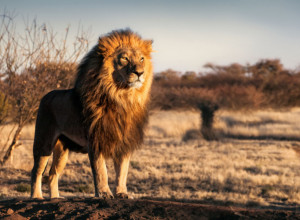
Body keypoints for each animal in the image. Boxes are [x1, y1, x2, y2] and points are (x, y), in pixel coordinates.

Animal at [31, 29, 154, 199]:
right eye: (124, 58)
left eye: (142, 59)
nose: (140, 72)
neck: (122, 98)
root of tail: (45, 95)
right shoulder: (96, 139)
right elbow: (101, 170)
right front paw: (104, 193)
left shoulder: (124, 142)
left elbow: (122, 171)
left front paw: (122, 193)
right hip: (44, 142)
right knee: (36, 171)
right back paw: (36, 196)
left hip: (62, 150)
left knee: (52, 174)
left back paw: (55, 198)